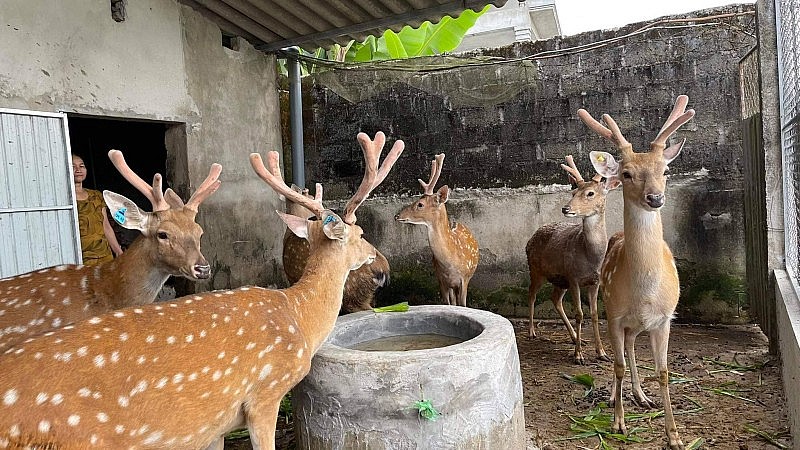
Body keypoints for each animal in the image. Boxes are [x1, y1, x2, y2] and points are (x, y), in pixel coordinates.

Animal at [396, 154, 478, 306]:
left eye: (420, 204)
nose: (397, 215)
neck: (451, 263)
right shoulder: (441, 280)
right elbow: (448, 304)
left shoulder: (464, 279)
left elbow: (463, 305)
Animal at [524, 154, 620, 362]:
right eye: (574, 191)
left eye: (590, 193)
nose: (565, 208)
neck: (591, 258)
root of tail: (531, 238)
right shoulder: (574, 277)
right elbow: (579, 314)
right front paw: (578, 356)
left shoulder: (594, 281)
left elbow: (594, 314)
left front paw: (602, 353)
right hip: (536, 270)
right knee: (532, 294)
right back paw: (532, 331)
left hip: (560, 280)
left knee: (555, 299)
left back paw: (576, 337)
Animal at [580, 93, 696, 448]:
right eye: (628, 173)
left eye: (666, 169)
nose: (655, 198)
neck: (643, 292)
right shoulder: (614, 314)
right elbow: (616, 365)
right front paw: (618, 423)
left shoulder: (665, 319)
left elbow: (664, 372)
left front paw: (674, 436)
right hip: (616, 315)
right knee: (625, 351)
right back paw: (622, 398)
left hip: (639, 325)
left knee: (632, 346)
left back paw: (641, 395)